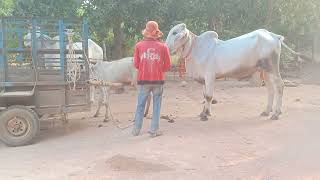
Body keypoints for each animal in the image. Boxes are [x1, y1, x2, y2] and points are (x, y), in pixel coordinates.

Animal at [165, 22, 308, 121]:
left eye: (175, 32)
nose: (166, 46)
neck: (196, 48)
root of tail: (274, 36)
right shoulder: (205, 79)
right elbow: (205, 95)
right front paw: (204, 112)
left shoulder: (210, 76)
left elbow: (209, 96)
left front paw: (205, 115)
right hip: (265, 70)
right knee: (270, 89)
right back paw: (267, 111)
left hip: (272, 67)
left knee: (279, 86)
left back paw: (276, 113)